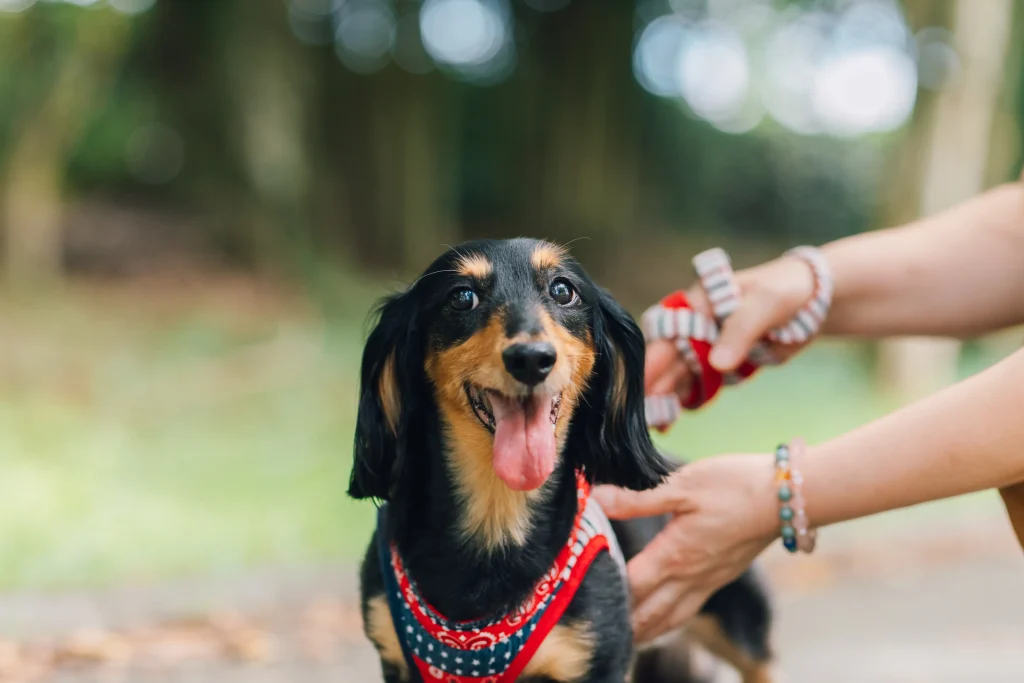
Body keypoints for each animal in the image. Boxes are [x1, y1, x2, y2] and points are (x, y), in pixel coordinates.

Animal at [349, 238, 774, 683]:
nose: (530, 359)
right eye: (462, 297)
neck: (497, 517)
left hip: (742, 624)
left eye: (562, 290)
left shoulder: (599, 662)